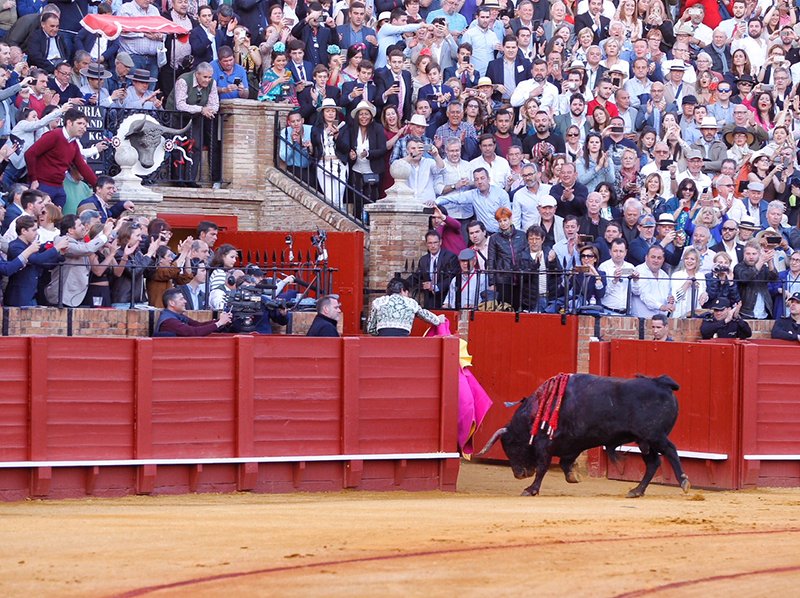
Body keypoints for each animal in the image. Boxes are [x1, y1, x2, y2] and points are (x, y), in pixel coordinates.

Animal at [477, 373, 691, 498]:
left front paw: (531, 489)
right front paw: (574, 476)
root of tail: (661, 383)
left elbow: (543, 467)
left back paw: (684, 482)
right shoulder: (571, 444)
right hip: (644, 441)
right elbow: (565, 462)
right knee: (653, 463)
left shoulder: (544, 445)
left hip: (655, 436)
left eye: (511, 446)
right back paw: (636, 491)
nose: (519, 474)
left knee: (670, 451)